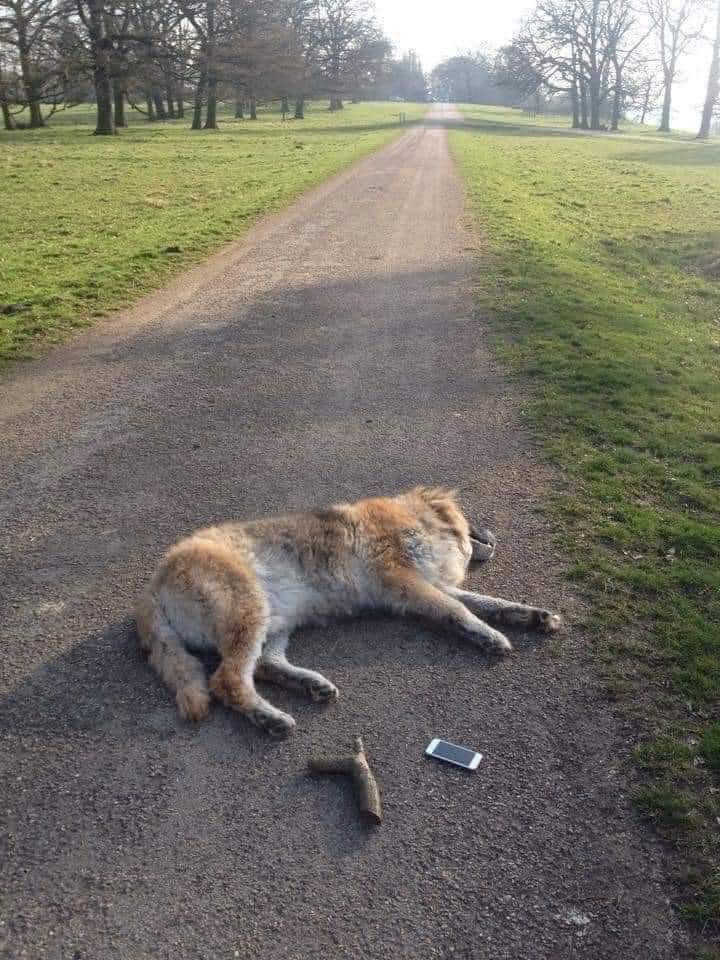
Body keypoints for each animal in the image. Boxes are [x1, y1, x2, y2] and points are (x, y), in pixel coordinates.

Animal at [136, 488, 564, 736]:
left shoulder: (433, 586)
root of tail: (154, 584)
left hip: (275, 620)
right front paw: (489, 636)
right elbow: (460, 610)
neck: (418, 519)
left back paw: (309, 685)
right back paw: (269, 718)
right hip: (249, 610)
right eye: (474, 524)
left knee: (263, 666)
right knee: (227, 680)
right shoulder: (409, 584)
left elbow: (491, 604)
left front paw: (531, 616)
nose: (494, 537)